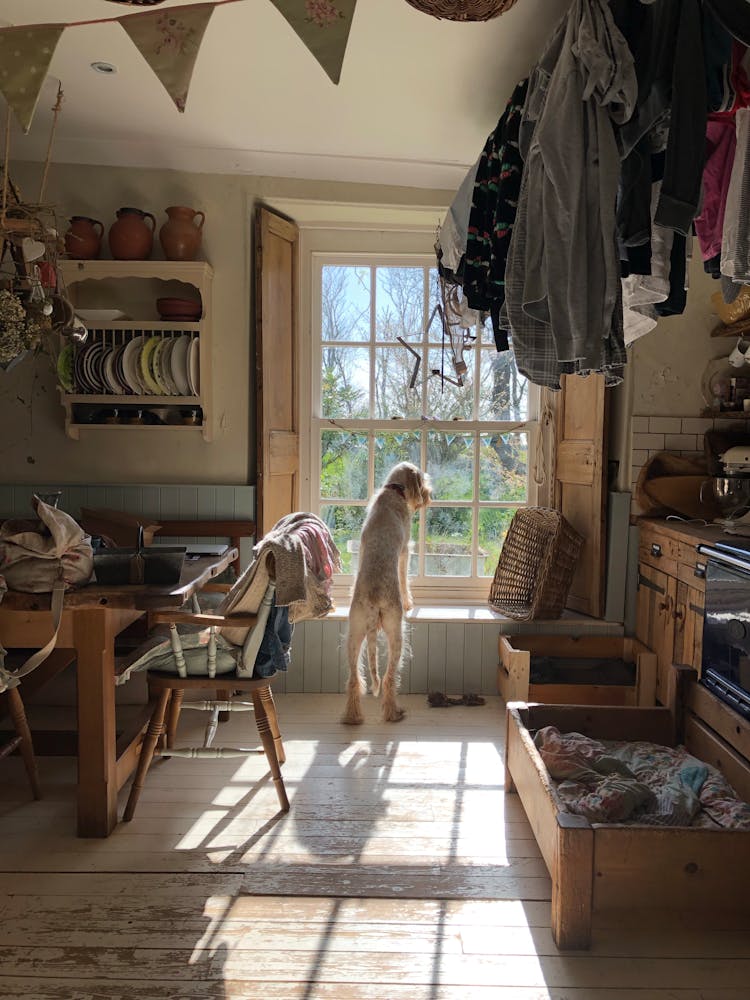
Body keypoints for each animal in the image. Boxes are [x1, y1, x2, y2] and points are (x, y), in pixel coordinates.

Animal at [342, 460, 432, 728]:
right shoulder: (405, 550)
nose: (429, 496)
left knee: (354, 679)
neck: (394, 490)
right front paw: (410, 602)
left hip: (354, 633)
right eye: (422, 479)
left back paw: (353, 717)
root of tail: (374, 603)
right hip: (396, 632)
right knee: (389, 678)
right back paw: (393, 714)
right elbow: (404, 578)